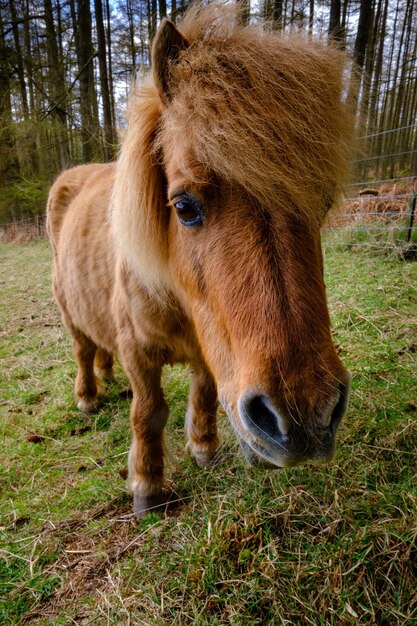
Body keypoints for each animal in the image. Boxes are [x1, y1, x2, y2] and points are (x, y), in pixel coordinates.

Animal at [46, 2, 352, 516]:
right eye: (184, 207)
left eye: (323, 202)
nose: (306, 414)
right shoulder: (139, 351)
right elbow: (148, 413)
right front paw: (148, 488)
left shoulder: (212, 350)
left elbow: (205, 392)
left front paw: (204, 449)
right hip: (69, 312)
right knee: (83, 349)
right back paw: (88, 396)